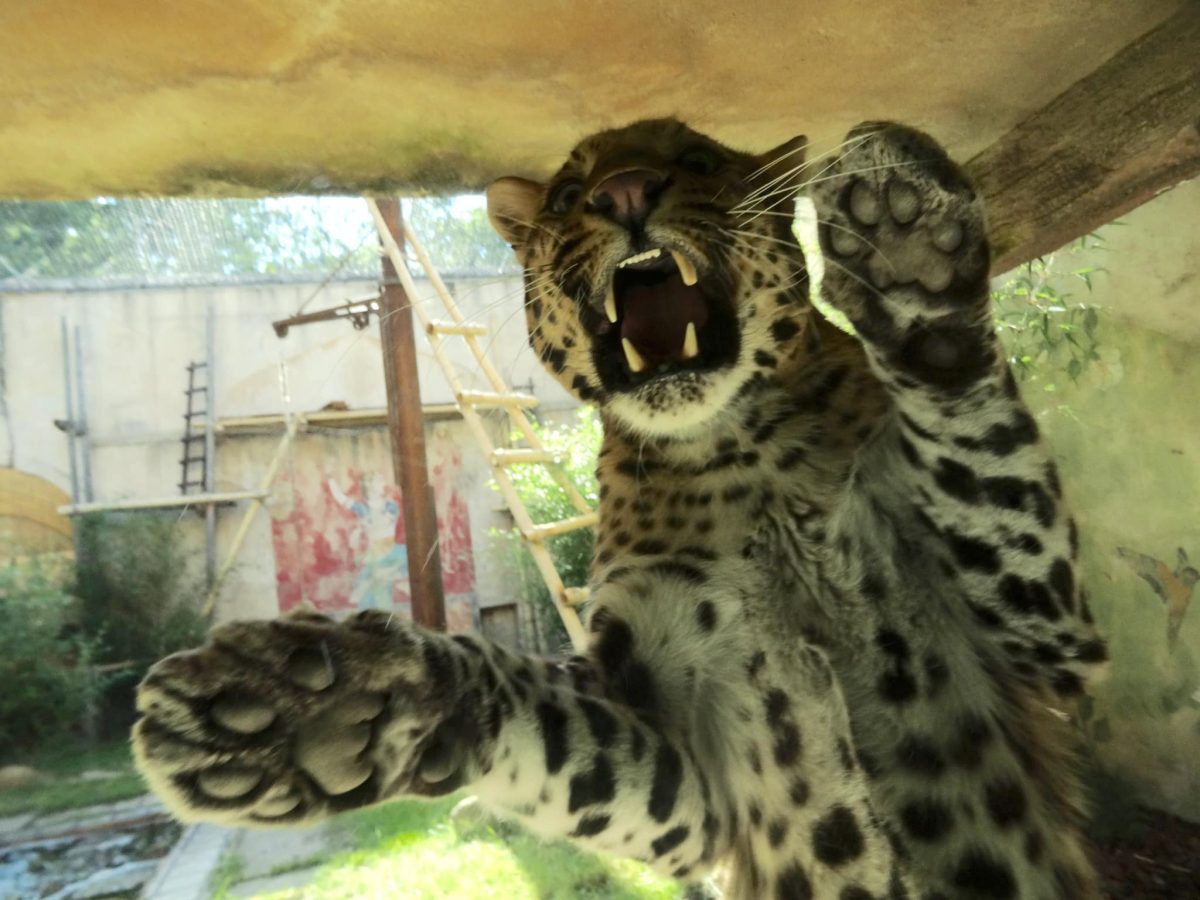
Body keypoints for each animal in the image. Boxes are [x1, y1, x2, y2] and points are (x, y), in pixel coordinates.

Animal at [131, 120, 1104, 900]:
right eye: (570, 195)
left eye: (696, 161)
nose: (626, 192)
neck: (733, 449)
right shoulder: (693, 765)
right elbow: (547, 718)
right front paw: (330, 706)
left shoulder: (1054, 650)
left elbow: (978, 443)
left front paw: (909, 253)